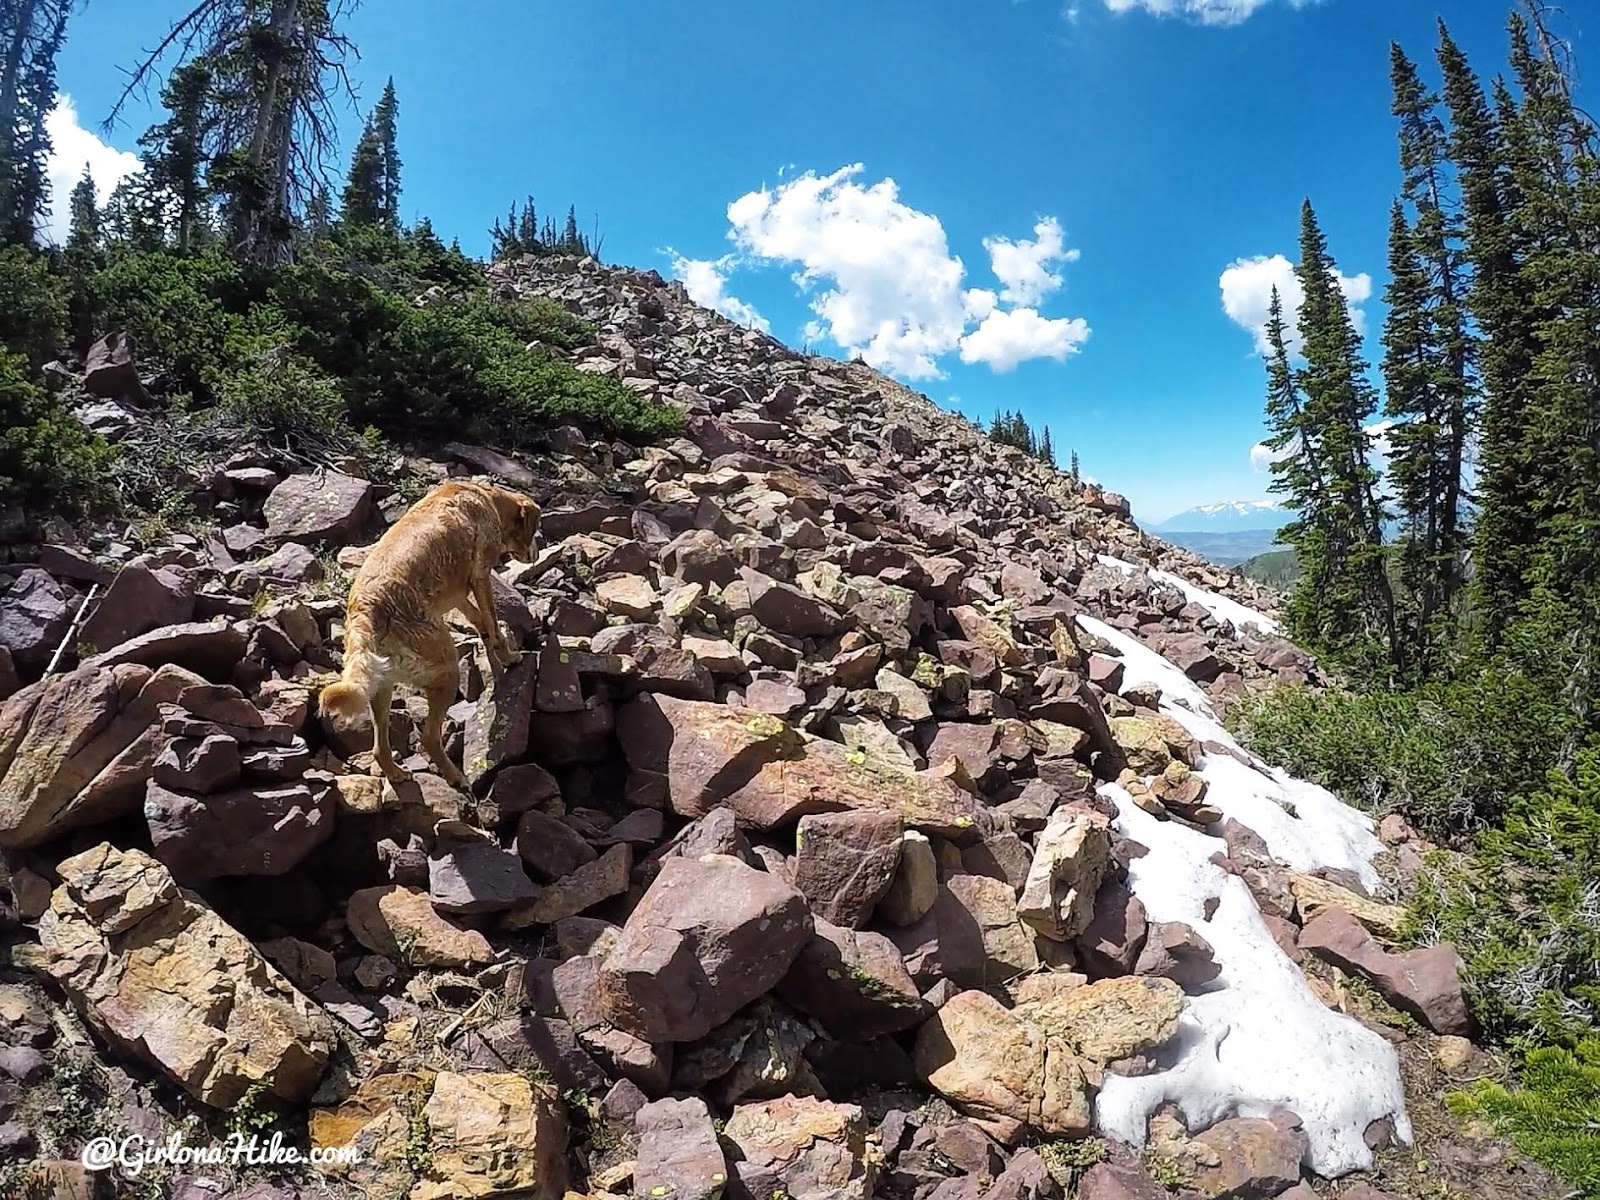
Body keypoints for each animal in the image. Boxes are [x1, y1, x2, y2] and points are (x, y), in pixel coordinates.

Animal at [318, 480, 544, 790]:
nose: (537, 553)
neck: (484, 497)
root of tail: (366, 610)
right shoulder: (481, 577)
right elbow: (494, 625)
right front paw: (509, 657)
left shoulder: (459, 594)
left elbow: (481, 621)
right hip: (445, 667)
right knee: (428, 737)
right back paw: (456, 777)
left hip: (381, 683)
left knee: (379, 746)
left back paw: (395, 773)